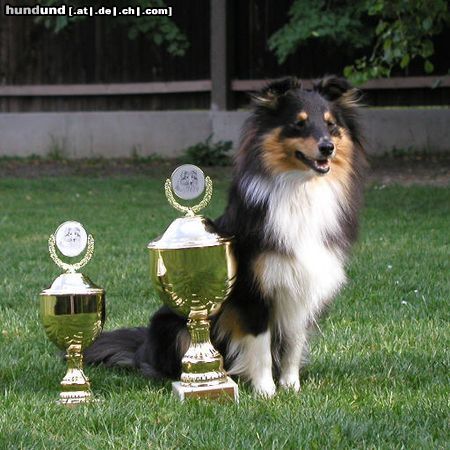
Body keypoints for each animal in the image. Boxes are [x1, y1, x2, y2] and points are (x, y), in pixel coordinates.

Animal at [84, 75, 366, 396]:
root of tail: (141, 348)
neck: (301, 190)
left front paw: (291, 386)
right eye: (299, 123)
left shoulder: (303, 287)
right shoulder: (252, 291)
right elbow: (259, 343)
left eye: (331, 125)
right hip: (172, 326)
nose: (327, 147)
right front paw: (266, 391)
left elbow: (293, 343)